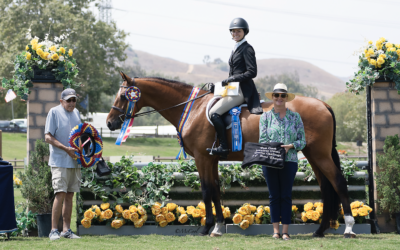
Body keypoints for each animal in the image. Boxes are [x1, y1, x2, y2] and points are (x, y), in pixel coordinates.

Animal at [106, 72, 356, 238]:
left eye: (123, 97)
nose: (110, 123)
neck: (193, 109)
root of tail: (323, 104)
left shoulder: (202, 158)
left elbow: (206, 190)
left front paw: (207, 227)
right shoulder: (211, 159)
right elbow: (216, 190)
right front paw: (218, 225)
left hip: (320, 155)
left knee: (338, 182)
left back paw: (349, 228)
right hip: (312, 154)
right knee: (326, 186)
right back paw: (320, 230)